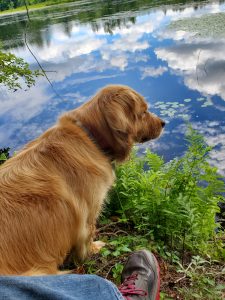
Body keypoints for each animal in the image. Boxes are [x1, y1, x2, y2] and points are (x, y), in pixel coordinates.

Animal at [0, 85, 164, 276]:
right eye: (143, 112)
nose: (163, 123)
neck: (92, 139)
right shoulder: (89, 213)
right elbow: (87, 238)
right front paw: (93, 249)